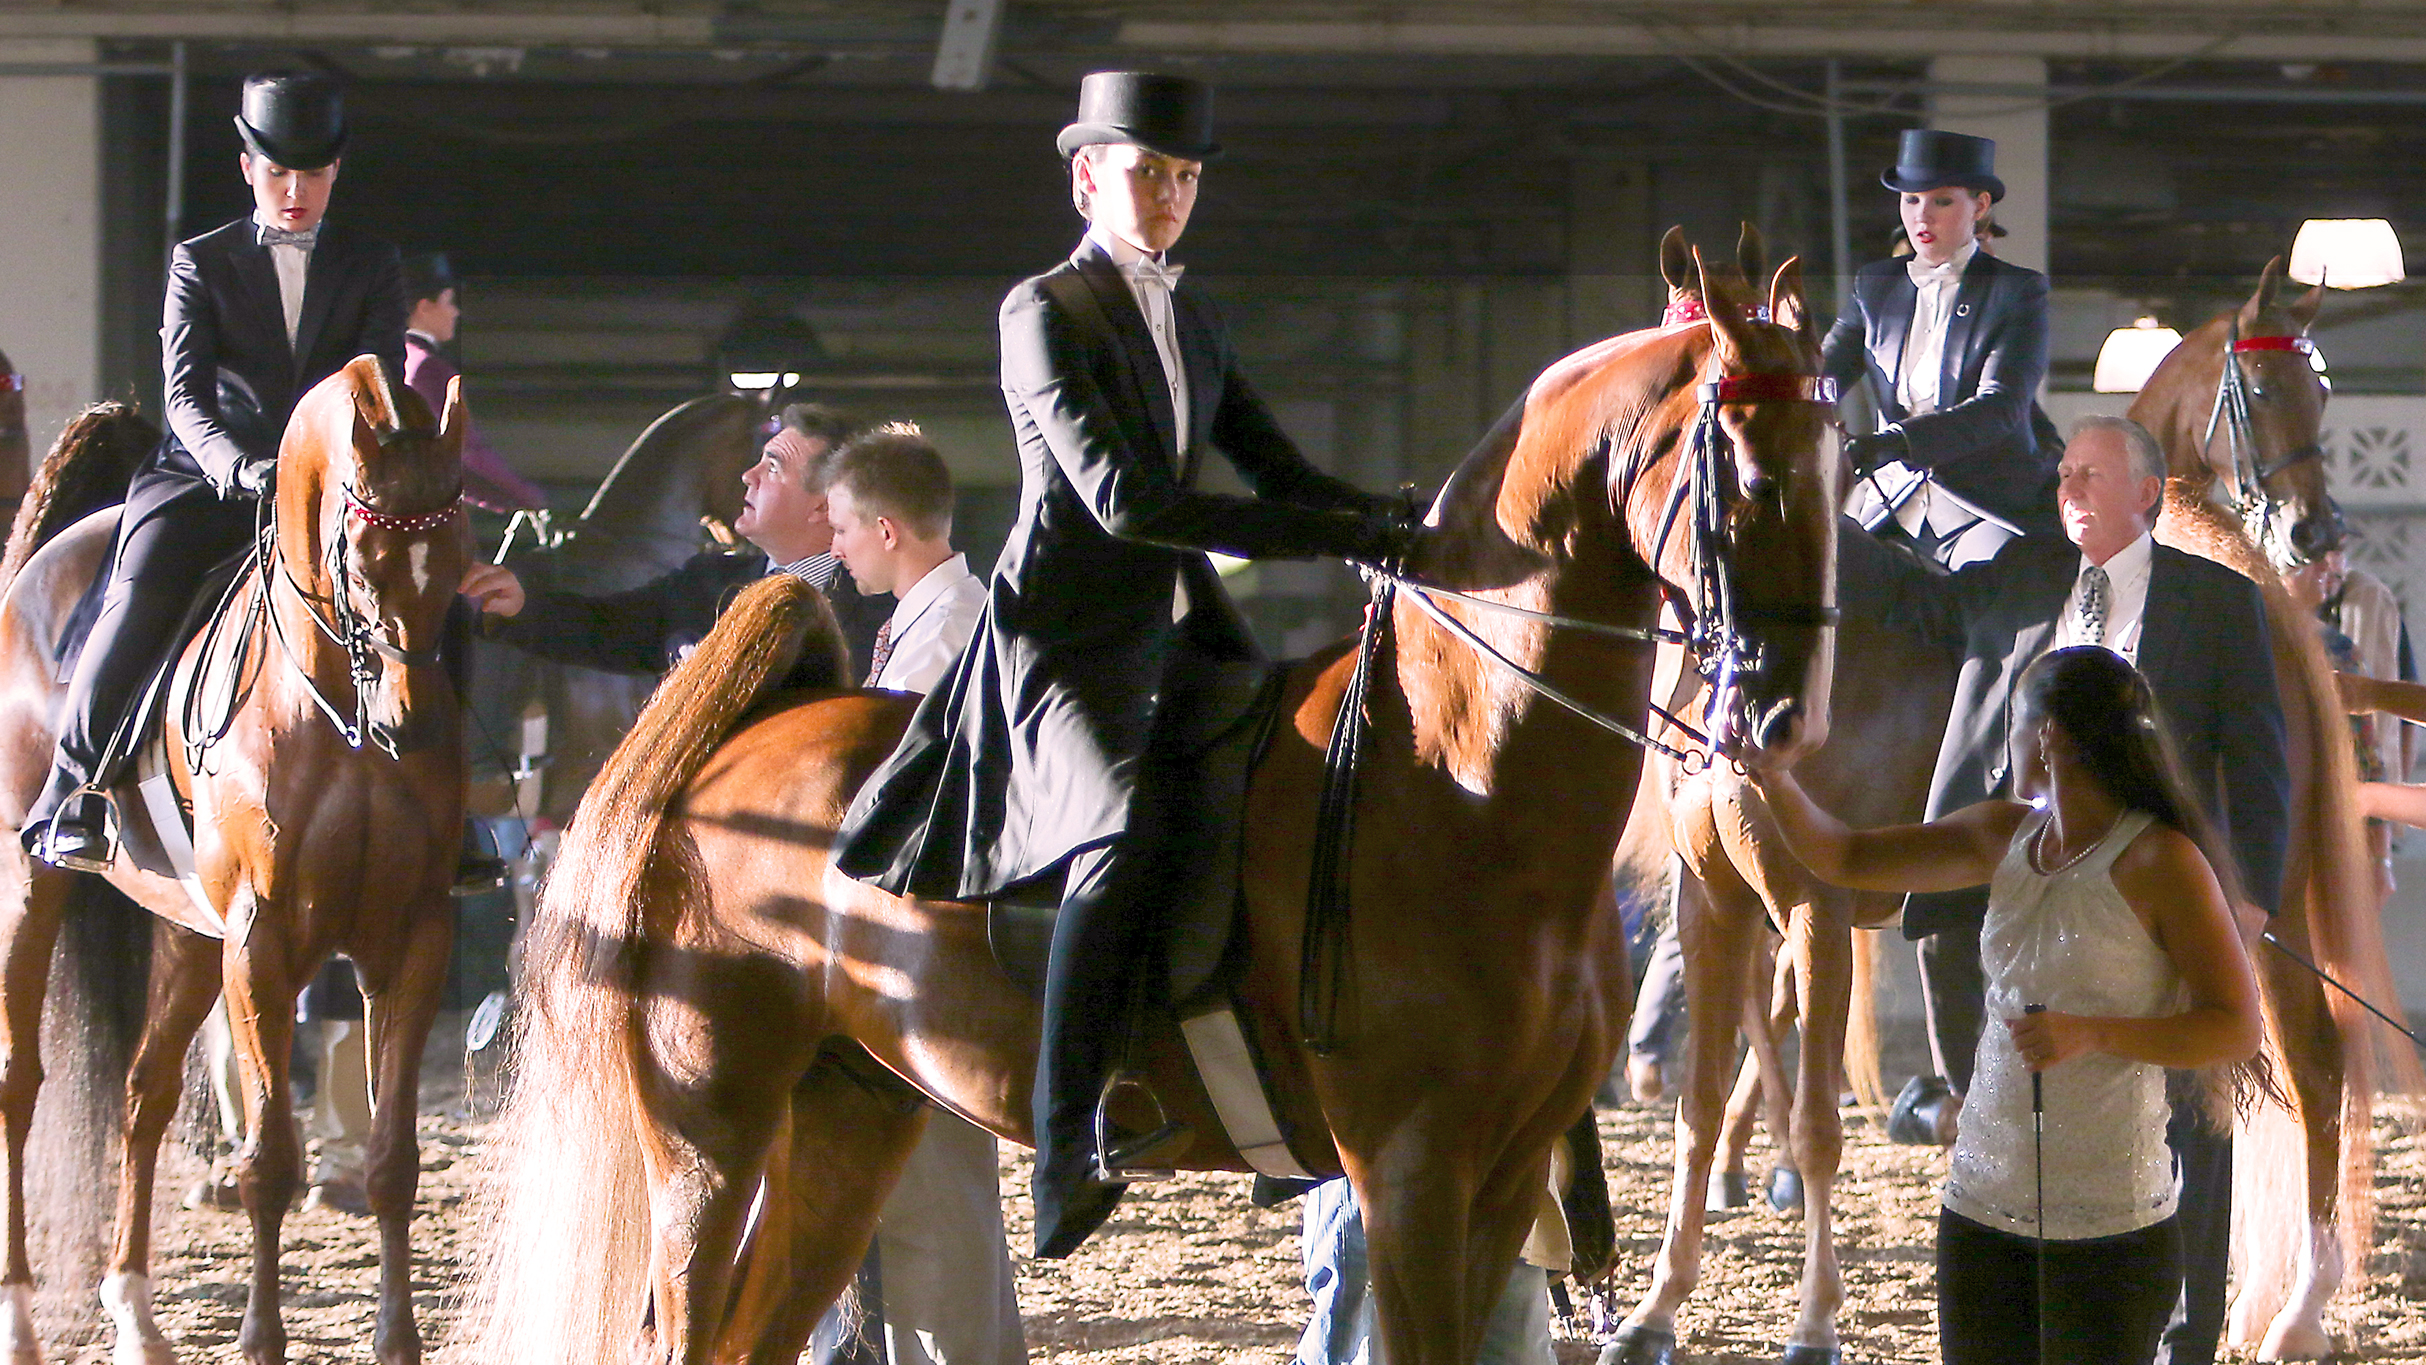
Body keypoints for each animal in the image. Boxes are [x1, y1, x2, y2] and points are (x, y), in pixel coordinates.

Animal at [0, 356, 468, 1365]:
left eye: (456, 552)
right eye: (359, 555)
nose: (411, 724)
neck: (334, 708)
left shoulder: (412, 936)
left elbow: (394, 1158)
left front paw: (398, 1339)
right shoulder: (262, 942)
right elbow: (270, 1161)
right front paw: (259, 1339)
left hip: (187, 930)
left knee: (144, 1091)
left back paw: (136, 1313)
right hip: (29, 888)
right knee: (19, 1080)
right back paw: (18, 1314)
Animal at [463, 246, 1834, 1365]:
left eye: (1832, 462)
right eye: (1745, 479)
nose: (1784, 710)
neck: (1461, 790)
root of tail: (736, 747)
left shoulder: (1498, 1177)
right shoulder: (1410, 1171)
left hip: (847, 1118)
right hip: (710, 1130)